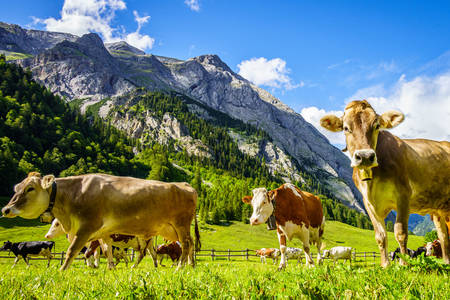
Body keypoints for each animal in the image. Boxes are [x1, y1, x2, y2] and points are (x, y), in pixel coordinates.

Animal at [0, 172, 200, 270]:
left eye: (30, 188)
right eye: (17, 187)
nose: (5, 209)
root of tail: (184, 185)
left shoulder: (87, 227)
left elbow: (72, 250)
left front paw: (61, 271)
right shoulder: (102, 233)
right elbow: (103, 251)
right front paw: (107, 267)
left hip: (181, 224)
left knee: (186, 244)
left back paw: (180, 268)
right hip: (169, 229)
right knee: (183, 246)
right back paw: (188, 266)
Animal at [320, 99, 450, 266]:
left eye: (376, 126)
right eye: (346, 128)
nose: (365, 156)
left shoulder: (403, 195)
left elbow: (400, 232)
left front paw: (403, 263)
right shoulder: (368, 202)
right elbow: (380, 236)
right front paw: (385, 265)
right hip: (438, 210)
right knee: (443, 236)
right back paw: (446, 263)